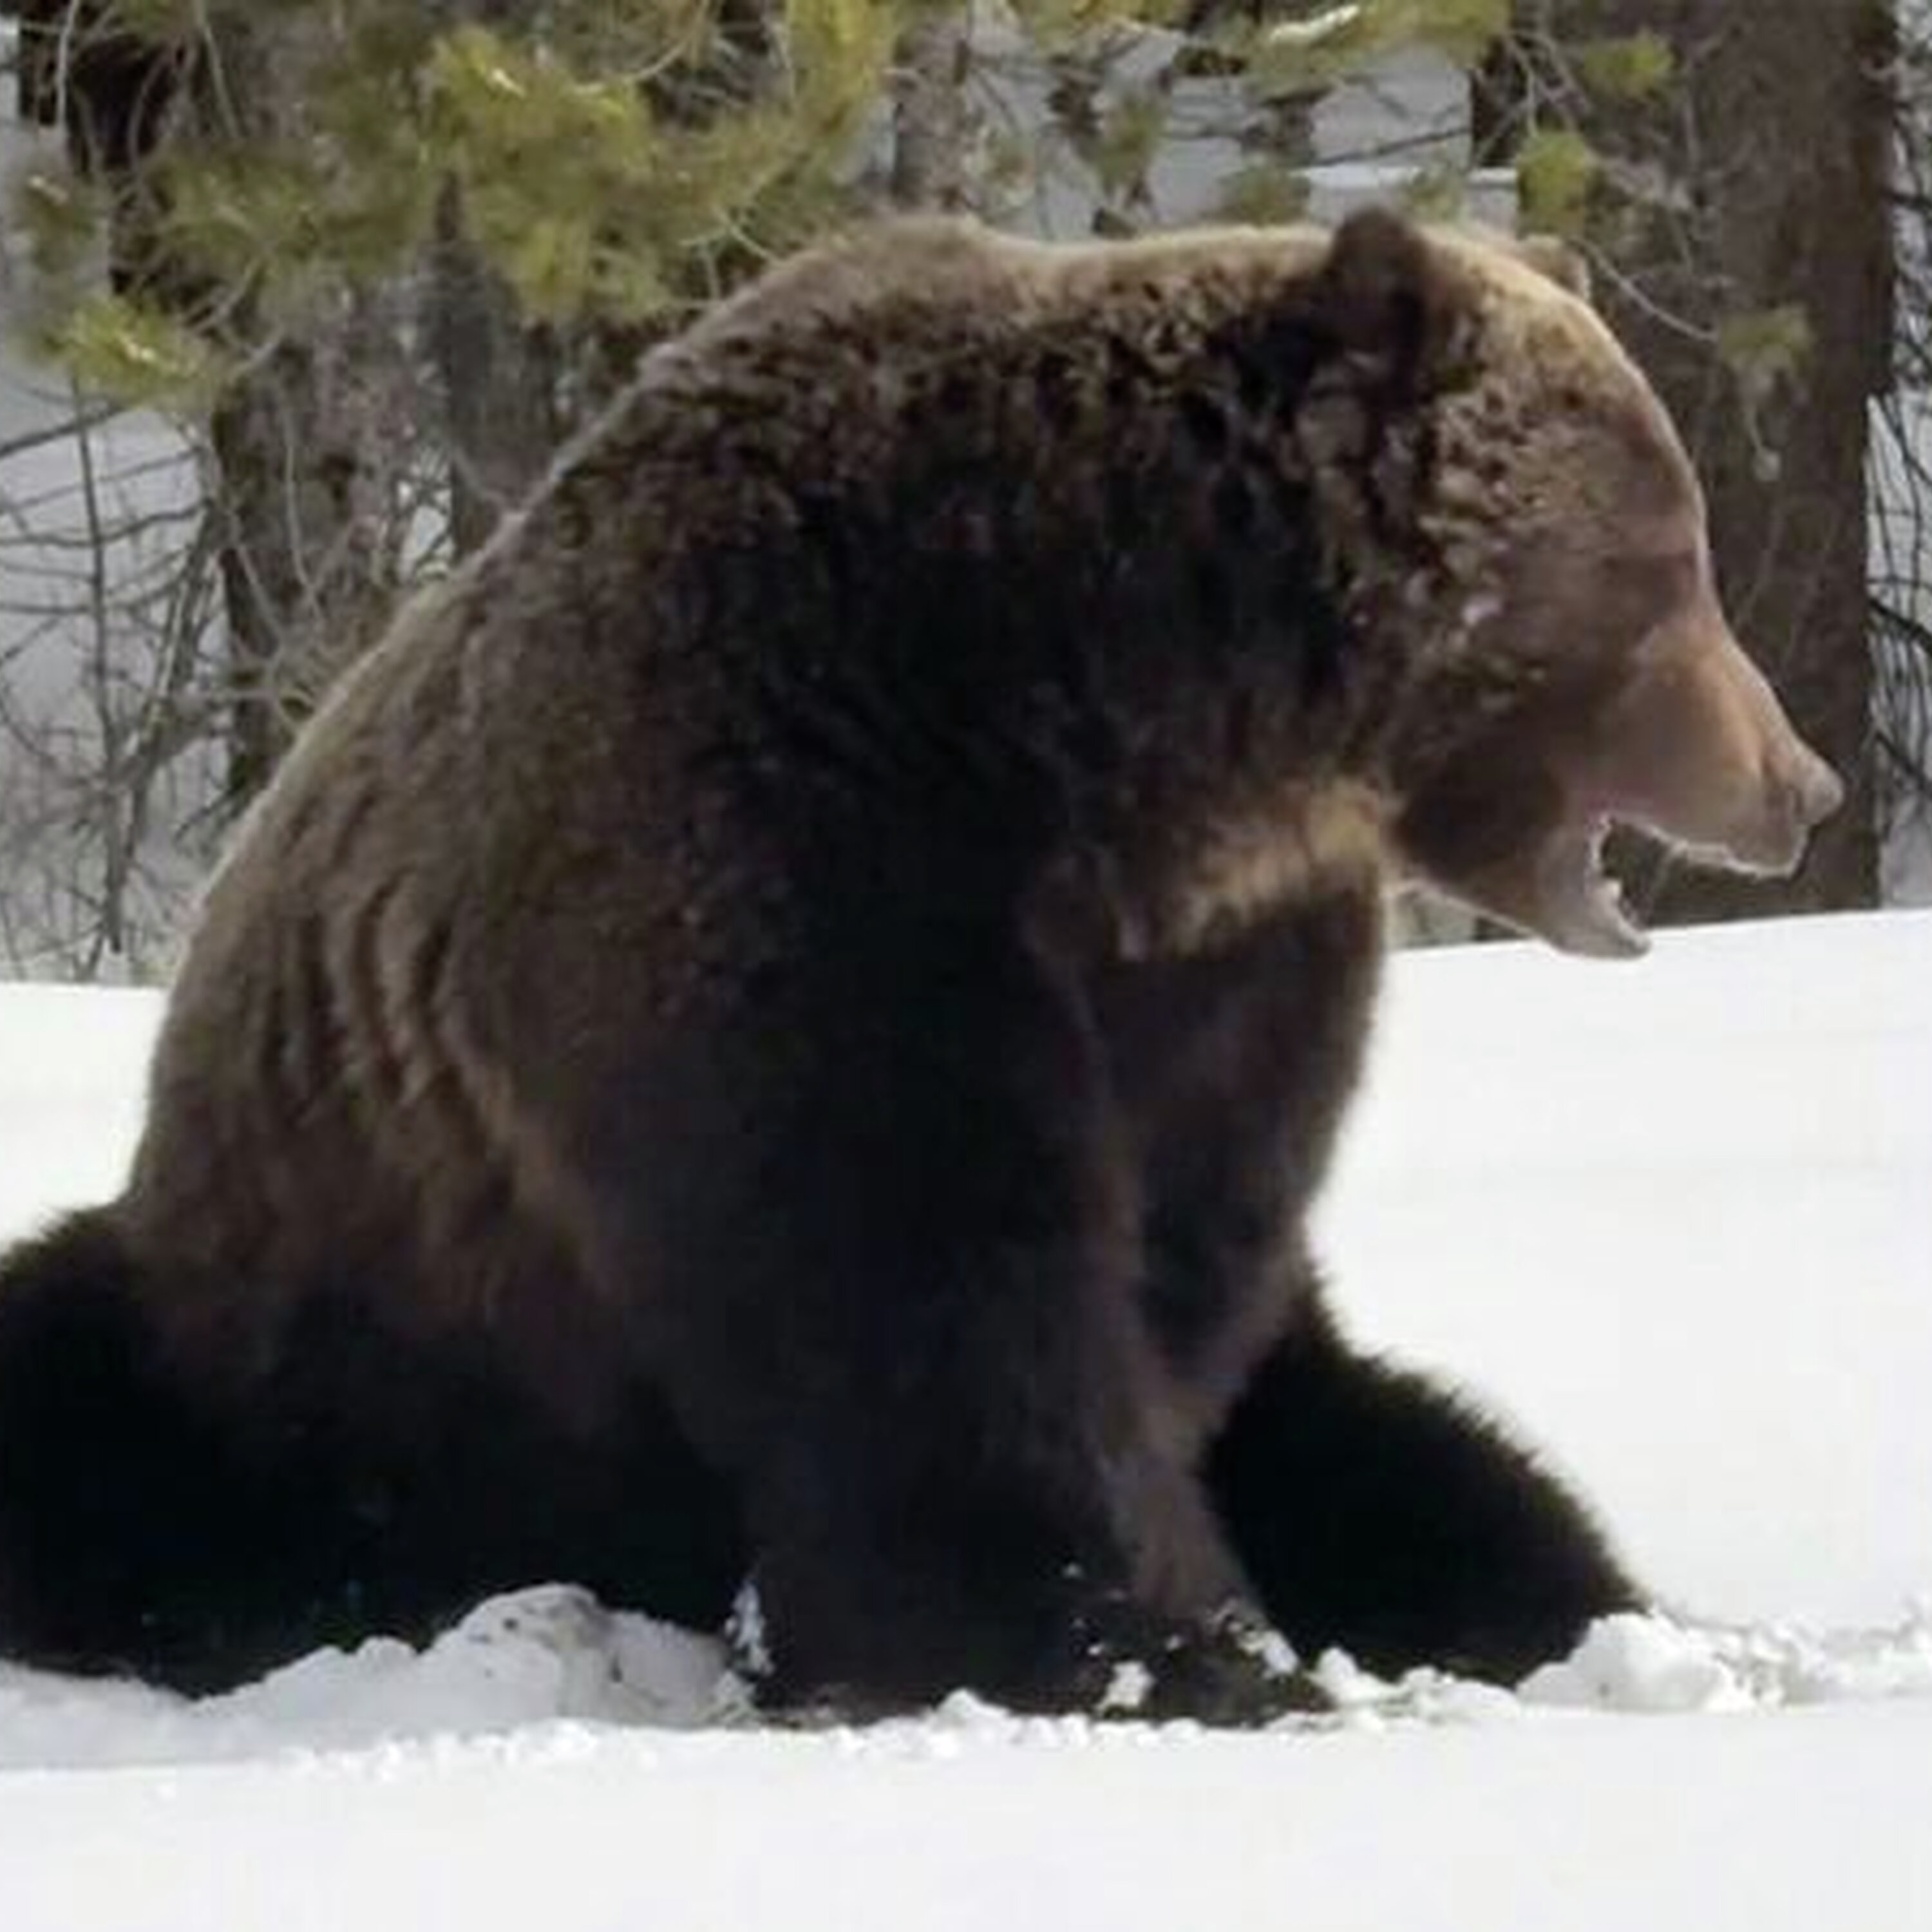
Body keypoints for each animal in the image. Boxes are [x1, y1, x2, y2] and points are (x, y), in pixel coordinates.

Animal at [0, 207, 1841, 1720]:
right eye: (1666, 561)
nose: (1800, 782)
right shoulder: (789, 845)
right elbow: (920, 1288)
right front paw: (1140, 1652)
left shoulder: (1236, 979)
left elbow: (1180, 1299)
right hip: (291, 1309)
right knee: (107, 1419)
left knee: (1430, 1449)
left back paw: (1549, 1599)